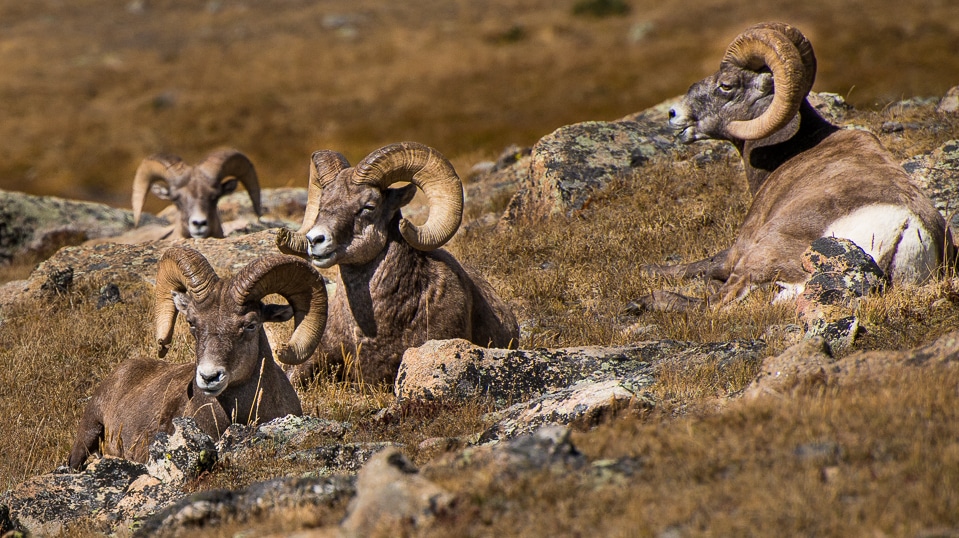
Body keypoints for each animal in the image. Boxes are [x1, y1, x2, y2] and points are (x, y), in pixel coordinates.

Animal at [632, 23, 952, 312]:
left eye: (726, 85)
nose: (673, 114)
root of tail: (906, 228)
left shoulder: (741, 247)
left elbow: (705, 263)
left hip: (762, 255)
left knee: (715, 304)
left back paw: (642, 302)